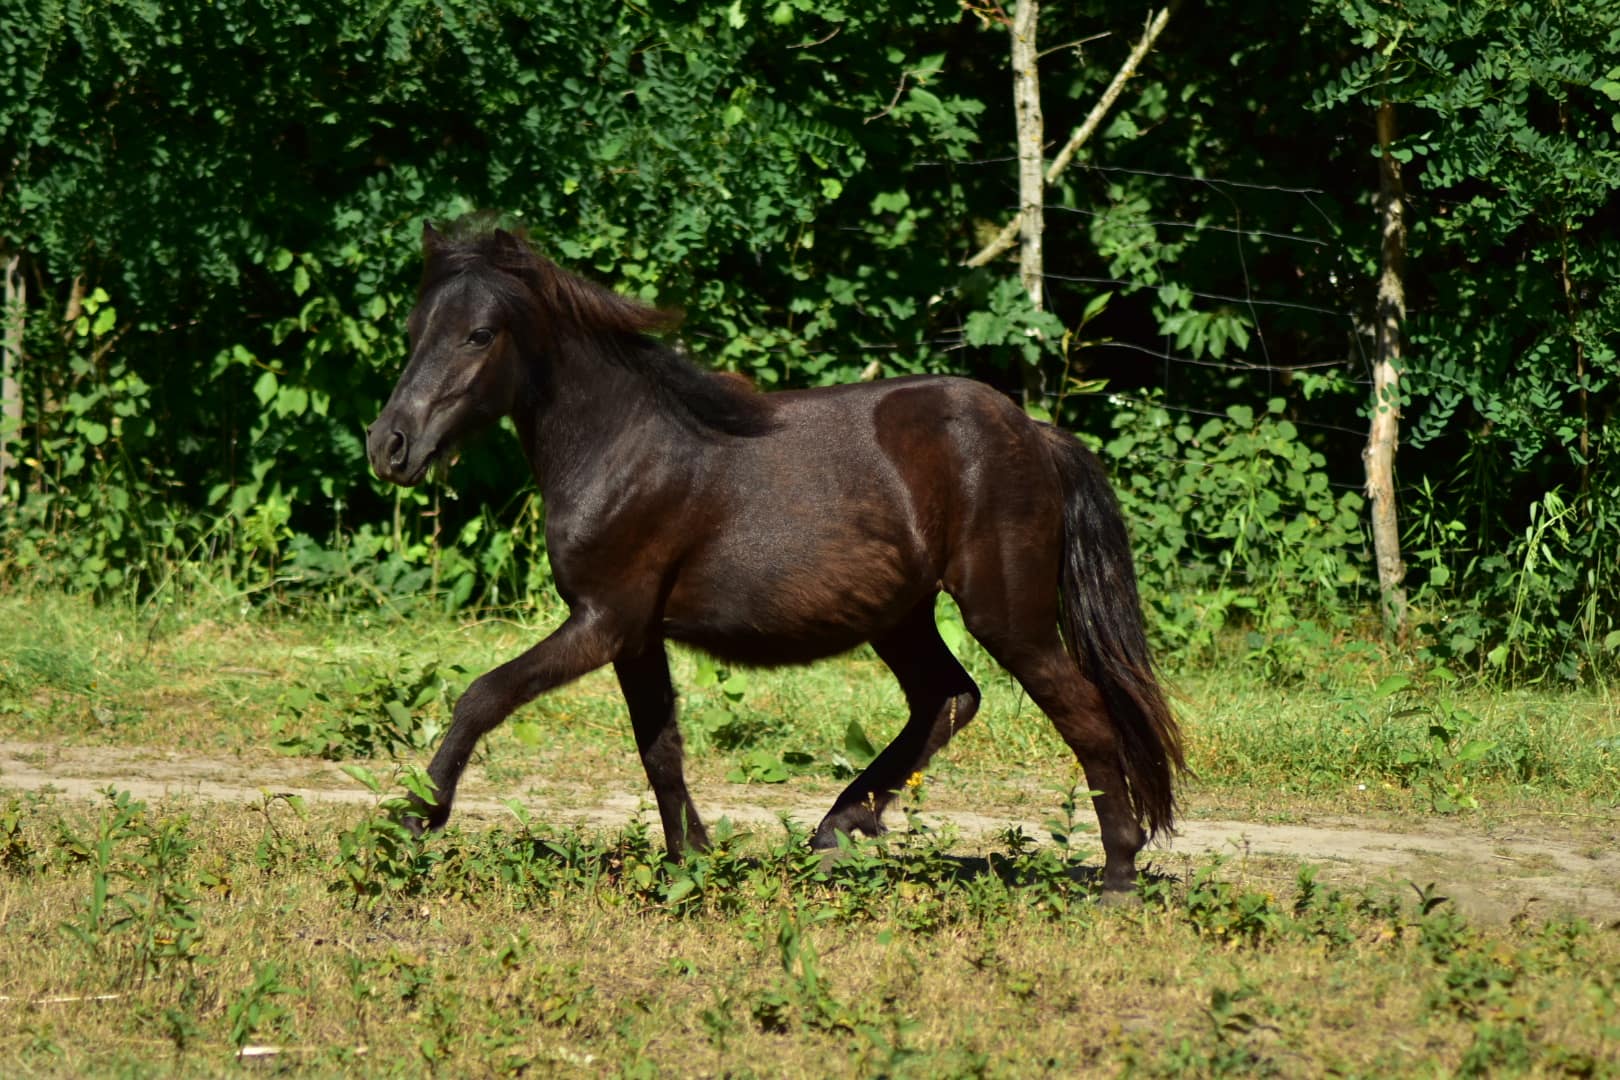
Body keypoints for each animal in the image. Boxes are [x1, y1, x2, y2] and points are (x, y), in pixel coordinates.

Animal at [366, 220, 1184, 898]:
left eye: (479, 334)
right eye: (415, 328)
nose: (389, 446)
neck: (622, 446)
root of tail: (1034, 433)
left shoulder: (604, 620)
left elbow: (484, 695)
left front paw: (414, 816)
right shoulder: (635, 635)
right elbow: (660, 747)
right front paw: (690, 863)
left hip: (1007, 615)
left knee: (1083, 715)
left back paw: (1117, 876)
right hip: (901, 617)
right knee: (949, 696)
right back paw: (837, 829)